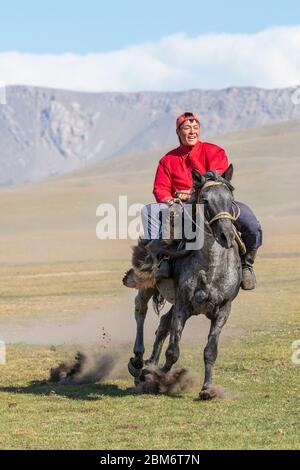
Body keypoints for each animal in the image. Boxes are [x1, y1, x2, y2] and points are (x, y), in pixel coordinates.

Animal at [123, 165, 243, 400]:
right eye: (205, 199)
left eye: (230, 198)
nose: (226, 235)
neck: (211, 267)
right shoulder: (183, 306)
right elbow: (173, 352)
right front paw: (156, 375)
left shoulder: (223, 310)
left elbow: (210, 351)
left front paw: (207, 389)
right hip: (148, 285)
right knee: (140, 310)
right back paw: (138, 362)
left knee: (162, 324)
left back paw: (149, 363)